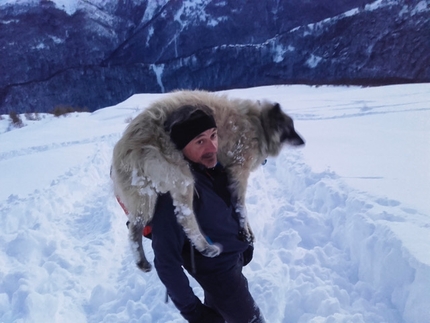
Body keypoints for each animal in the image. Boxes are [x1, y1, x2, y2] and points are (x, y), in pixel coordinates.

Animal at [111, 90, 306, 272]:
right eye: (289, 128)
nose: (303, 142)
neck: (258, 124)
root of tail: (124, 147)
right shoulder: (239, 172)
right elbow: (241, 207)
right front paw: (245, 231)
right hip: (183, 179)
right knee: (184, 218)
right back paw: (206, 247)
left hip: (145, 198)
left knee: (134, 228)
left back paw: (141, 261)